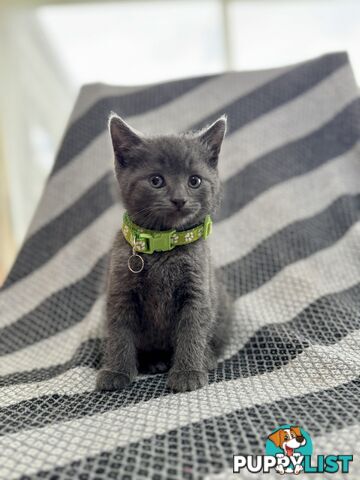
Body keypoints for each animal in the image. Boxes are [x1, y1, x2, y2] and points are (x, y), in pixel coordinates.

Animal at [95, 114, 232, 392]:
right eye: (156, 180)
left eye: (194, 181)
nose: (179, 199)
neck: (163, 246)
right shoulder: (120, 291)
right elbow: (119, 332)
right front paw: (116, 371)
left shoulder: (197, 291)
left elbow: (192, 330)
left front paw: (188, 372)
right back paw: (153, 362)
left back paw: (206, 358)